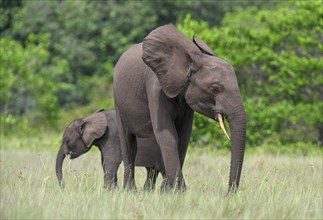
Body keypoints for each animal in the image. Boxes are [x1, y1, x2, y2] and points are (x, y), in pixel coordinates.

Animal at [114, 24, 248, 192]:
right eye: (215, 88)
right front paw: (179, 191)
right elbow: (167, 134)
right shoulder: (155, 87)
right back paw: (130, 190)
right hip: (118, 102)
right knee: (128, 142)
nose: (228, 193)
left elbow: (183, 136)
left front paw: (167, 191)